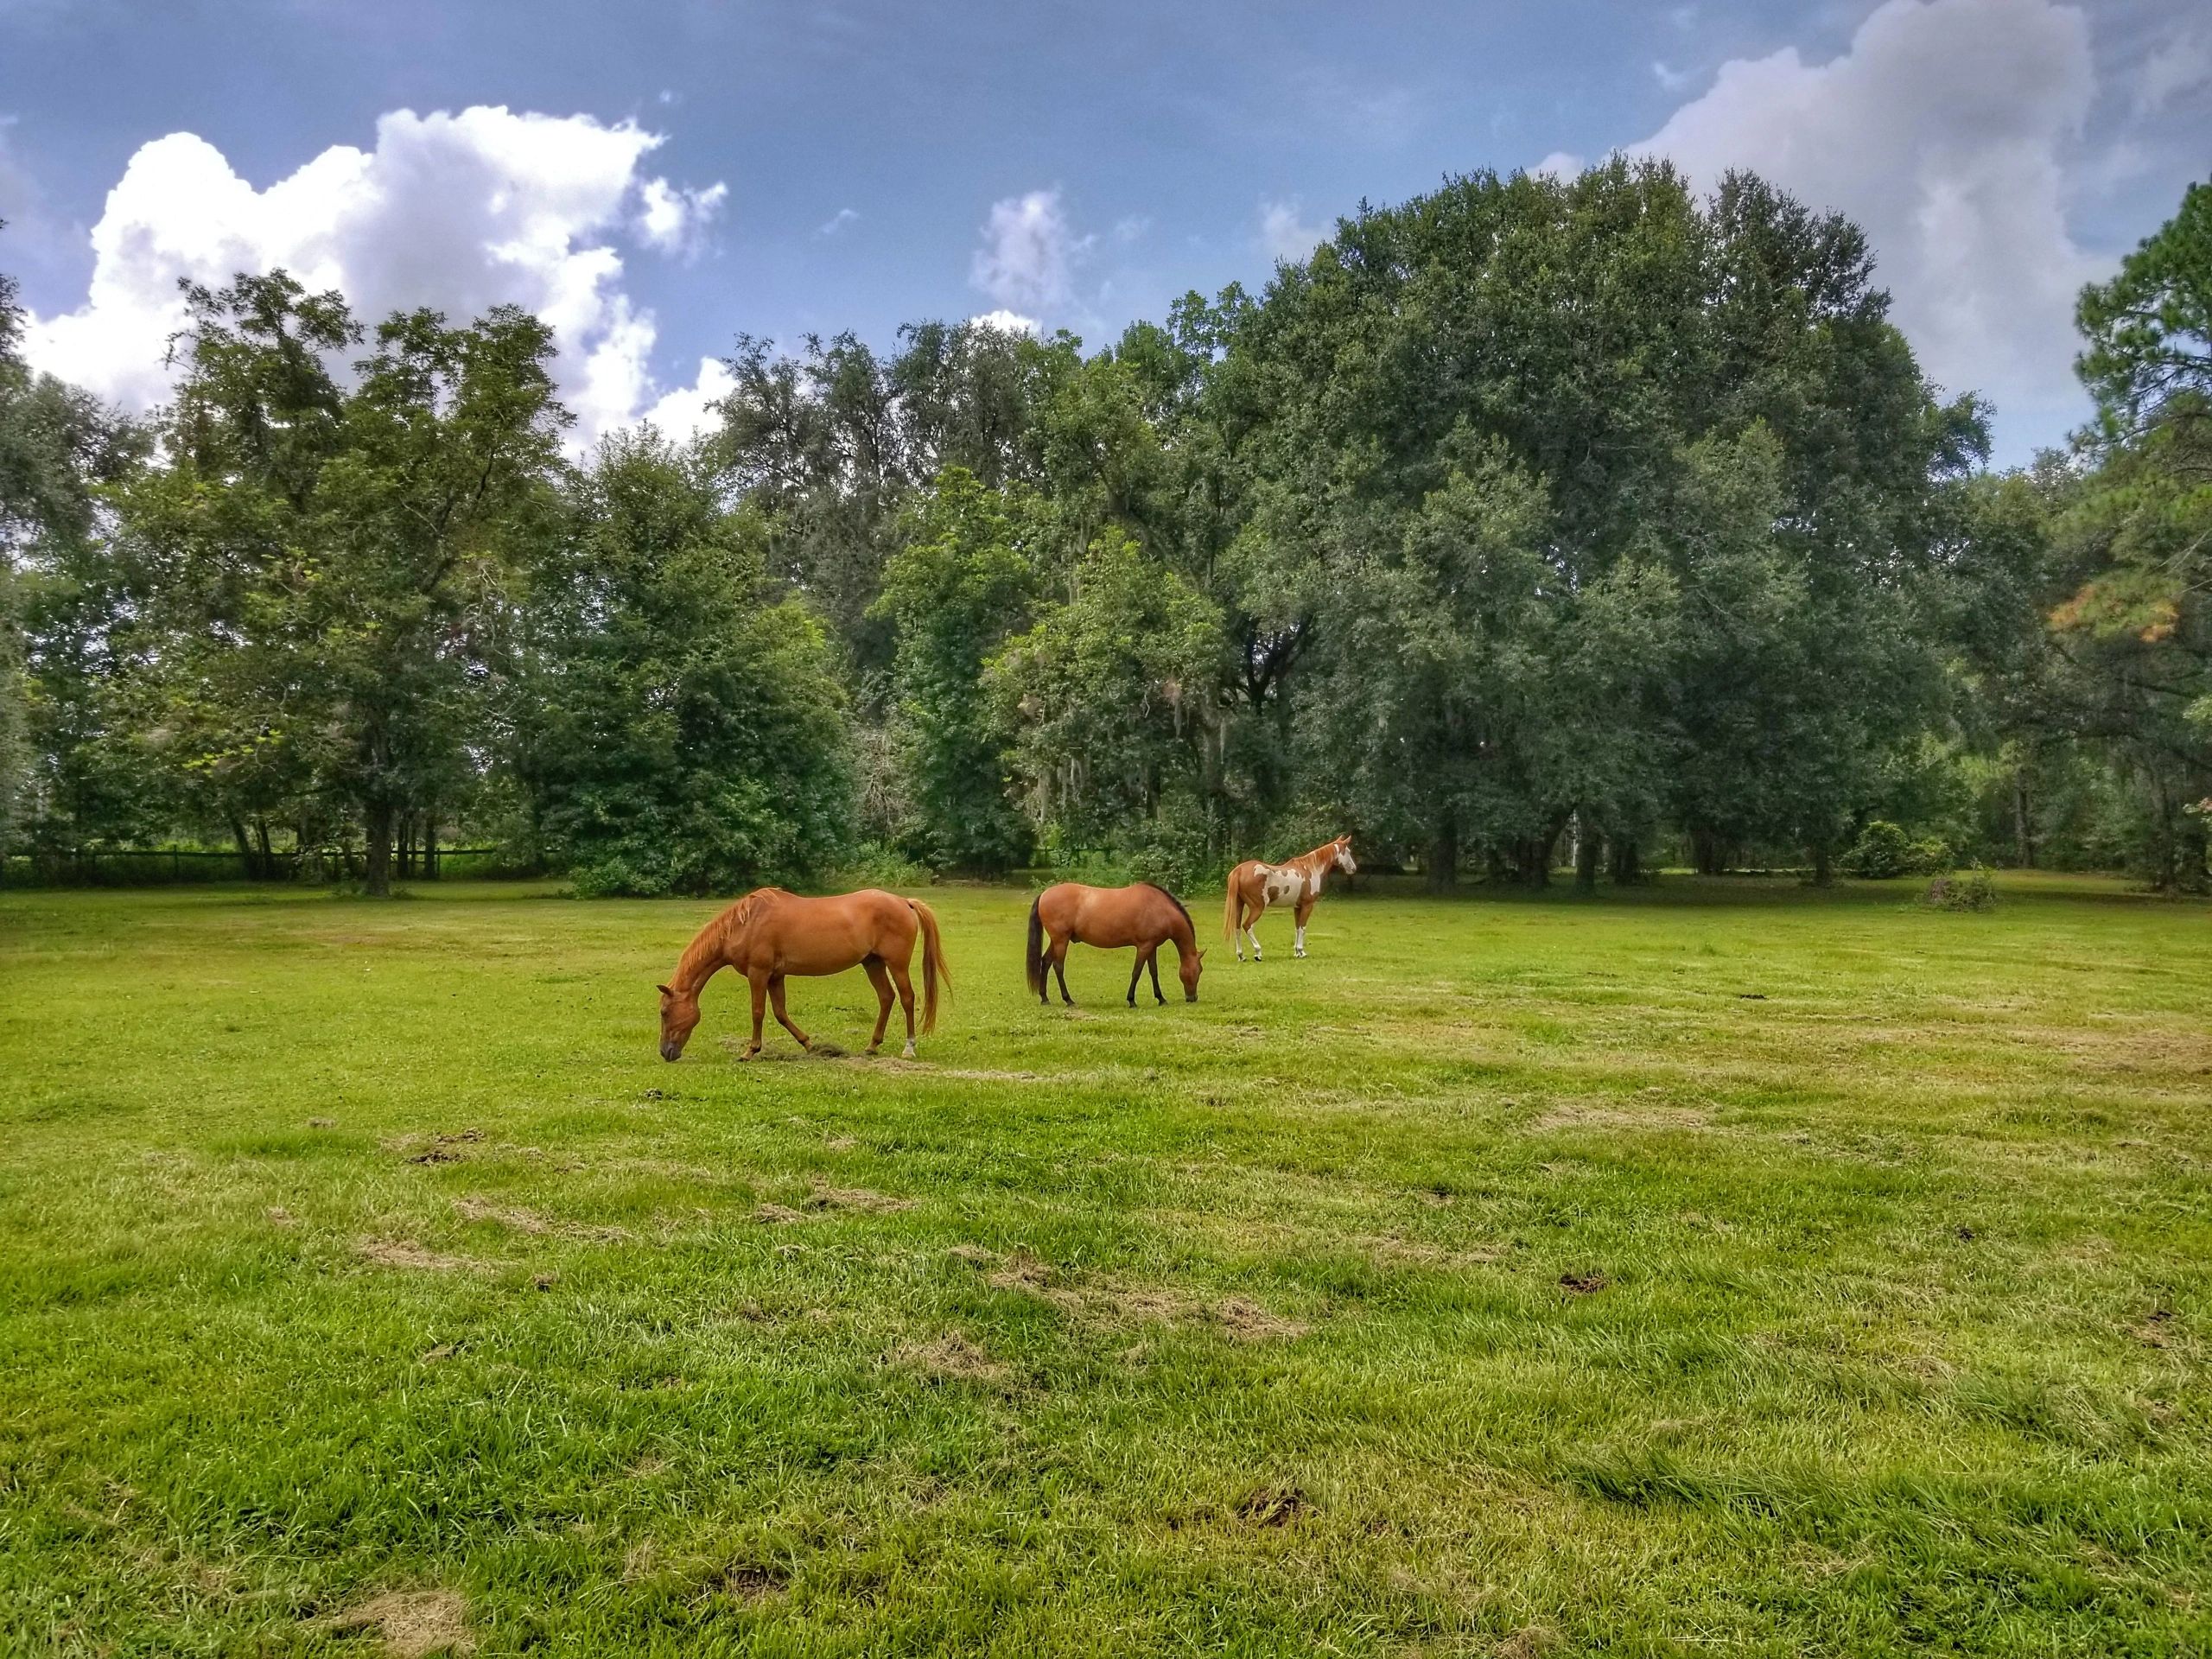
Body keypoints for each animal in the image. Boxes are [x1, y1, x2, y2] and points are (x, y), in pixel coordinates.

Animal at [657, 887, 949, 1062]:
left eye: (664, 1012)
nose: (665, 1052)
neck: (746, 923)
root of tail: (904, 902)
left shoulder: (758, 973)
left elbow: (758, 1012)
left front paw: (749, 1051)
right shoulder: (775, 976)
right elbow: (780, 1013)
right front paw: (809, 1045)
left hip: (896, 964)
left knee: (907, 998)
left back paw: (909, 1047)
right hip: (873, 963)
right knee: (886, 997)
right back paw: (872, 1045)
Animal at [1026, 882, 1204, 1007]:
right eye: (1199, 970)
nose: (1193, 998)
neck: (1160, 909)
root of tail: (1044, 894)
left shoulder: (1152, 947)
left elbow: (1153, 972)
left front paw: (1161, 998)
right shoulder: (1144, 947)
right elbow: (1136, 972)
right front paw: (1131, 1000)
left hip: (1057, 941)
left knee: (1046, 962)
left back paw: (1045, 998)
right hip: (1061, 941)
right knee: (1058, 967)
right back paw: (1068, 1000)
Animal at [1222, 834, 1356, 960]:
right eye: (1348, 852)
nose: (1354, 869)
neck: (1310, 869)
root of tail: (1239, 870)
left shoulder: (1297, 907)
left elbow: (1297, 928)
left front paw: (1297, 952)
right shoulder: (1308, 906)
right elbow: (1303, 928)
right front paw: (1302, 952)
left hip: (1239, 905)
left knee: (1237, 927)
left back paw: (1241, 955)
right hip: (1257, 908)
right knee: (1247, 926)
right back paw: (1258, 953)